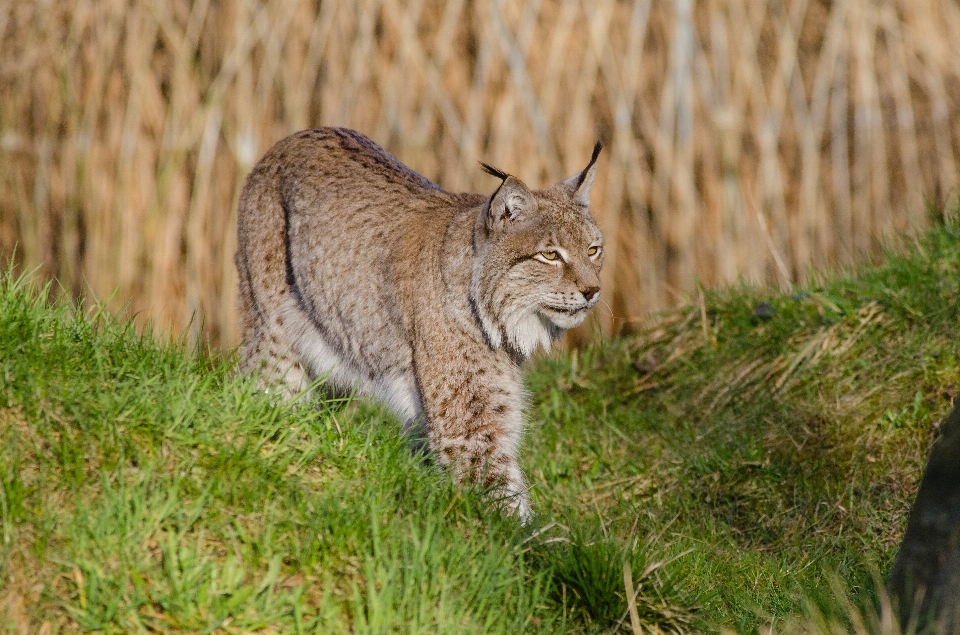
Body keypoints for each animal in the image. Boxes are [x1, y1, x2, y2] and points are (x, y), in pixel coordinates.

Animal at [235, 126, 604, 520]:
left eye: (593, 250)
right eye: (550, 255)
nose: (592, 291)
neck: (496, 319)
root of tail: (297, 136)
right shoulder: (468, 431)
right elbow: (501, 512)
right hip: (274, 342)